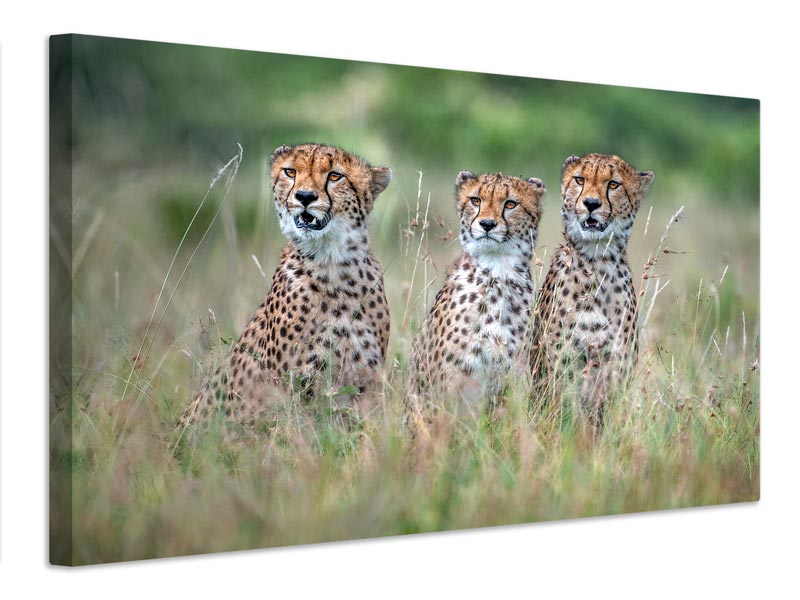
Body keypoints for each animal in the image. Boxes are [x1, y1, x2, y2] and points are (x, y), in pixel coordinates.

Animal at [177, 143, 393, 431]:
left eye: (335, 176)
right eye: (291, 172)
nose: (304, 196)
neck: (333, 263)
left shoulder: (365, 382)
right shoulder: (293, 386)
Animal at [530, 152, 654, 426]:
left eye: (614, 184)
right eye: (580, 179)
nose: (591, 203)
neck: (597, 261)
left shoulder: (616, 367)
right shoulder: (563, 365)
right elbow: (563, 417)